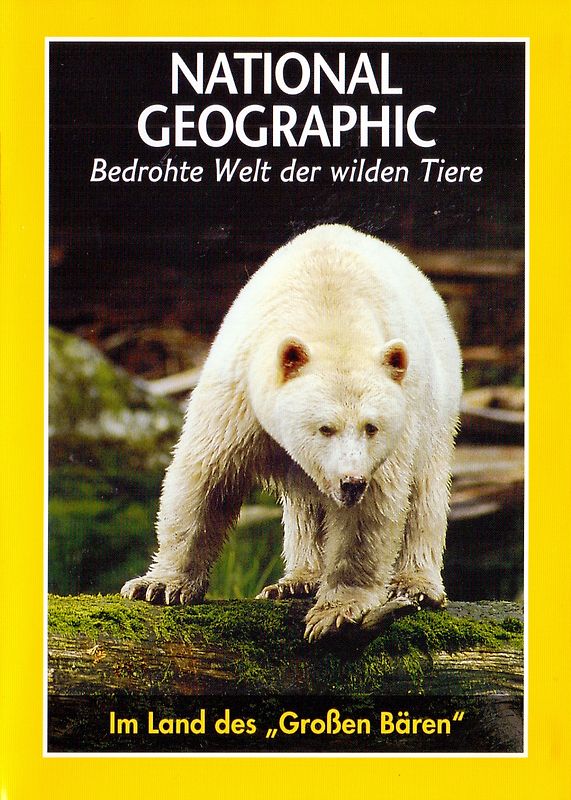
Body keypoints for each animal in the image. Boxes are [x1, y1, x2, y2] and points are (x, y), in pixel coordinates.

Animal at [121, 224, 462, 642]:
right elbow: (205, 478)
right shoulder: (239, 396)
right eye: (325, 427)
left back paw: (416, 586)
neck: (330, 311)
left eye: (371, 427)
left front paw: (336, 612)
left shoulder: (389, 442)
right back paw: (297, 580)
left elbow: (372, 512)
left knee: (426, 491)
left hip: (435, 404)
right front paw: (158, 586)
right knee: (305, 504)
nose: (351, 482)